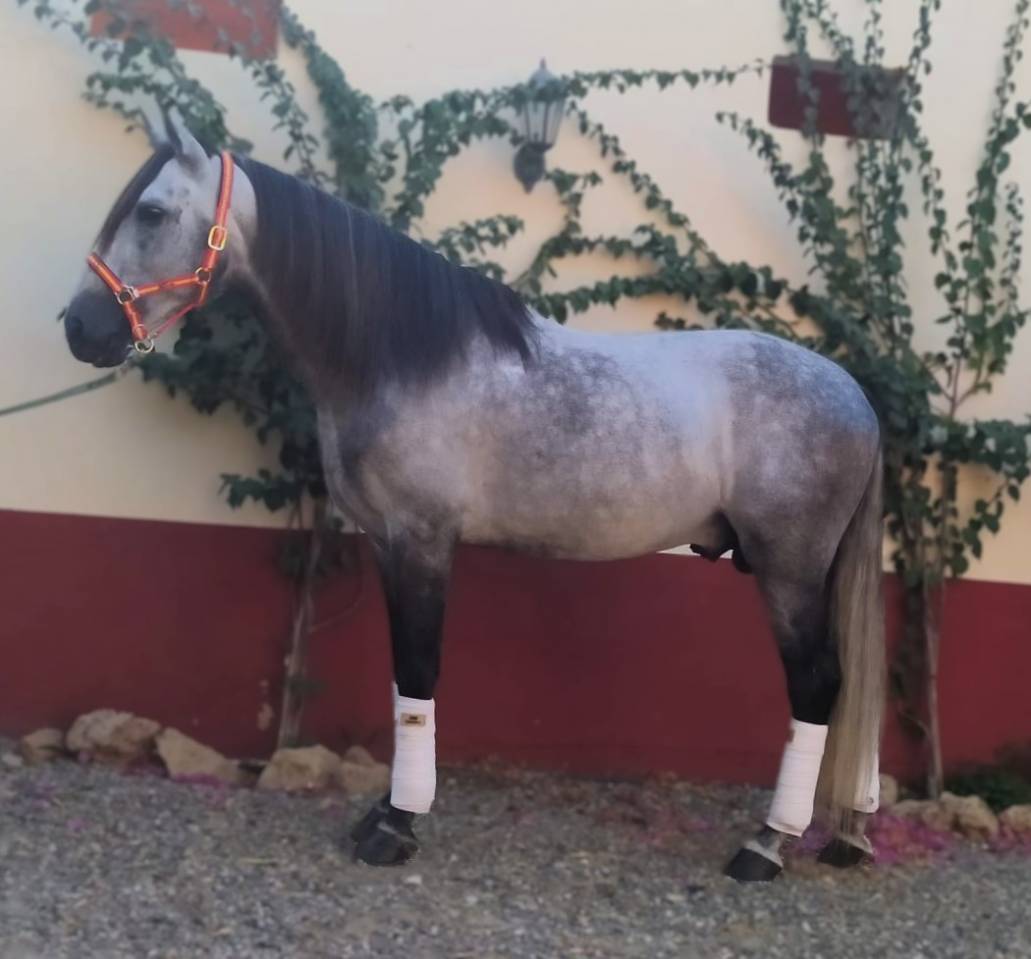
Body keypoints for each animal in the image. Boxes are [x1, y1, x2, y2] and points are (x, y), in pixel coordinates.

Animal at [63, 114, 885, 883]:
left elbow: (420, 668)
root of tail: (857, 398)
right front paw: (384, 813)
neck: (399, 357)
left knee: (818, 685)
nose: (79, 328)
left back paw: (765, 844)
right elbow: (404, 674)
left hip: (788, 569)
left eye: (153, 212)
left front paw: (396, 825)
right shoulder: (388, 543)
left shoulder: (424, 538)